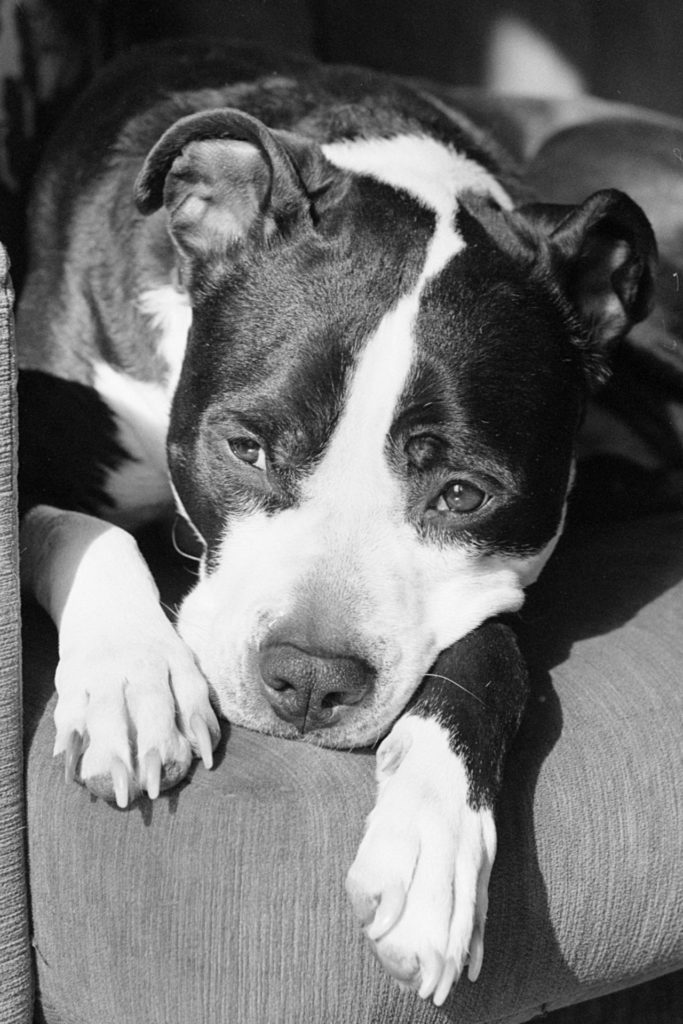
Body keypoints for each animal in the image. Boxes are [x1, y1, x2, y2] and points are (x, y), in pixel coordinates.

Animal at [18, 36, 663, 1003]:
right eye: (246, 449)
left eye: (462, 495)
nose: (310, 680)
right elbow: (85, 527)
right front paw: (132, 675)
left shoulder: (508, 563)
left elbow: (489, 651)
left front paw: (431, 837)